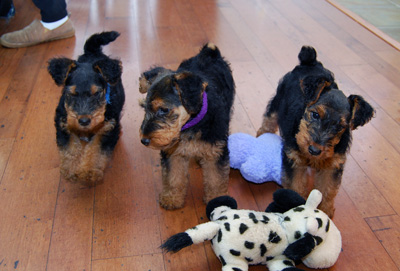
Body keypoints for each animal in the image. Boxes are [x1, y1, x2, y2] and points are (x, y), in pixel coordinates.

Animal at [49, 30, 126, 186]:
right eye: (71, 93)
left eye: (96, 93)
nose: (84, 121)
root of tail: (92, 51)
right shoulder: (63, 124)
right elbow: (69, 150)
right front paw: (71, 171)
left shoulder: (107, 128)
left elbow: (96, 150)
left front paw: (88, 172)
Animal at [139, 44, 236, 210]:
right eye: (144, 108)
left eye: (163, 110)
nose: (144, 141)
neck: (192, 123)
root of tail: (209, 52)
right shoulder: (172, 153)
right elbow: (173, 177)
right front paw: (172, 198)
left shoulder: (217, 151)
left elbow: (216, 180)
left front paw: (218, 200)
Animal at [258, 45, 374, 219]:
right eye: (315, 114)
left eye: (340, 126)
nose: (314, 150)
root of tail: (310, 61)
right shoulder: (295, 159)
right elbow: (296, 185)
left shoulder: (333, 164)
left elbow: (328, 189)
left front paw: (325, 211)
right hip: (278, 100)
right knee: (269, 120)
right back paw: (260, 137)